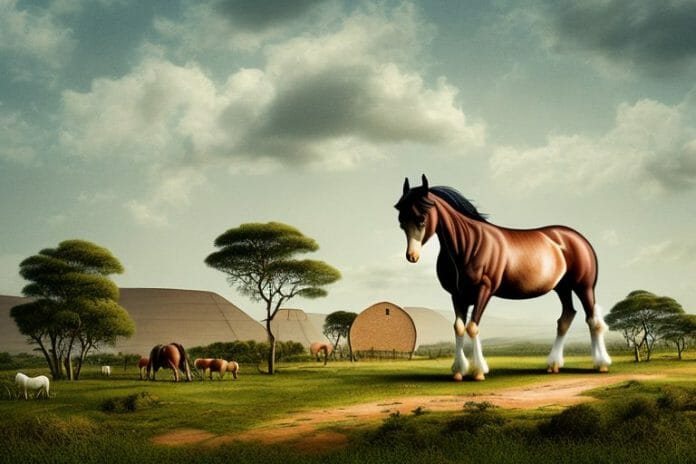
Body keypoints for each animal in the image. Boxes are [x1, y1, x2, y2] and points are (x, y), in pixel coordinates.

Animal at [395, 175, 611, 381]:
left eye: (422, 218)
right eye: (401, 221)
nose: (412, 256)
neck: (468, 245)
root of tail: (579, 239)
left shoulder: (484, 290)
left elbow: (472, 327)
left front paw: (479, 372)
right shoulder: (458, 295)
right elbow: (459, 328)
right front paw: (458, 372)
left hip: (584, 287)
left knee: (593, 321)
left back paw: (601, 364)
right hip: (562, 288)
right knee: (566, 318)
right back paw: (553, 365)